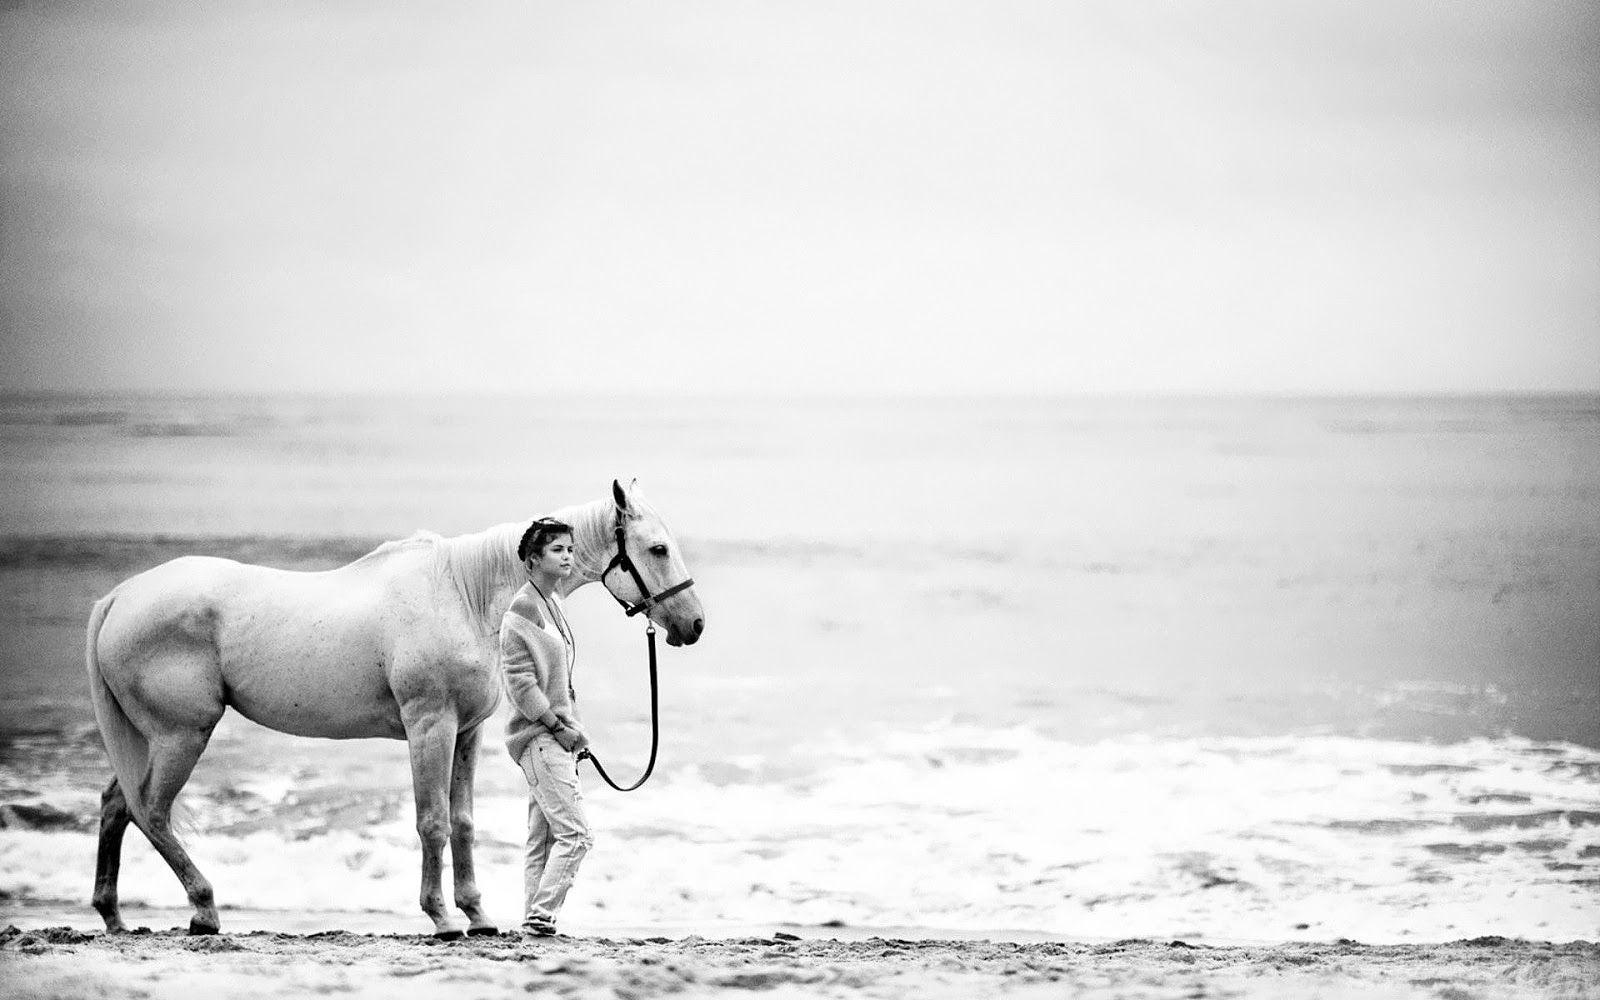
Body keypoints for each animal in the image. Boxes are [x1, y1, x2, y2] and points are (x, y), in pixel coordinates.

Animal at [83, 479, 704, 938]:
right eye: (657, 548)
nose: (694, 624)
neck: (465, 593)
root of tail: (119, 597)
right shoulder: (431, 726)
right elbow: (432, 822)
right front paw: (443, 918)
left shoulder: (467, 732)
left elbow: (463, 822)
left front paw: (478, 915)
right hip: (181, 735)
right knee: (150, 810)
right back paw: (204, 909)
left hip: (153, 738)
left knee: (117, 803)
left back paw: (114, 915)